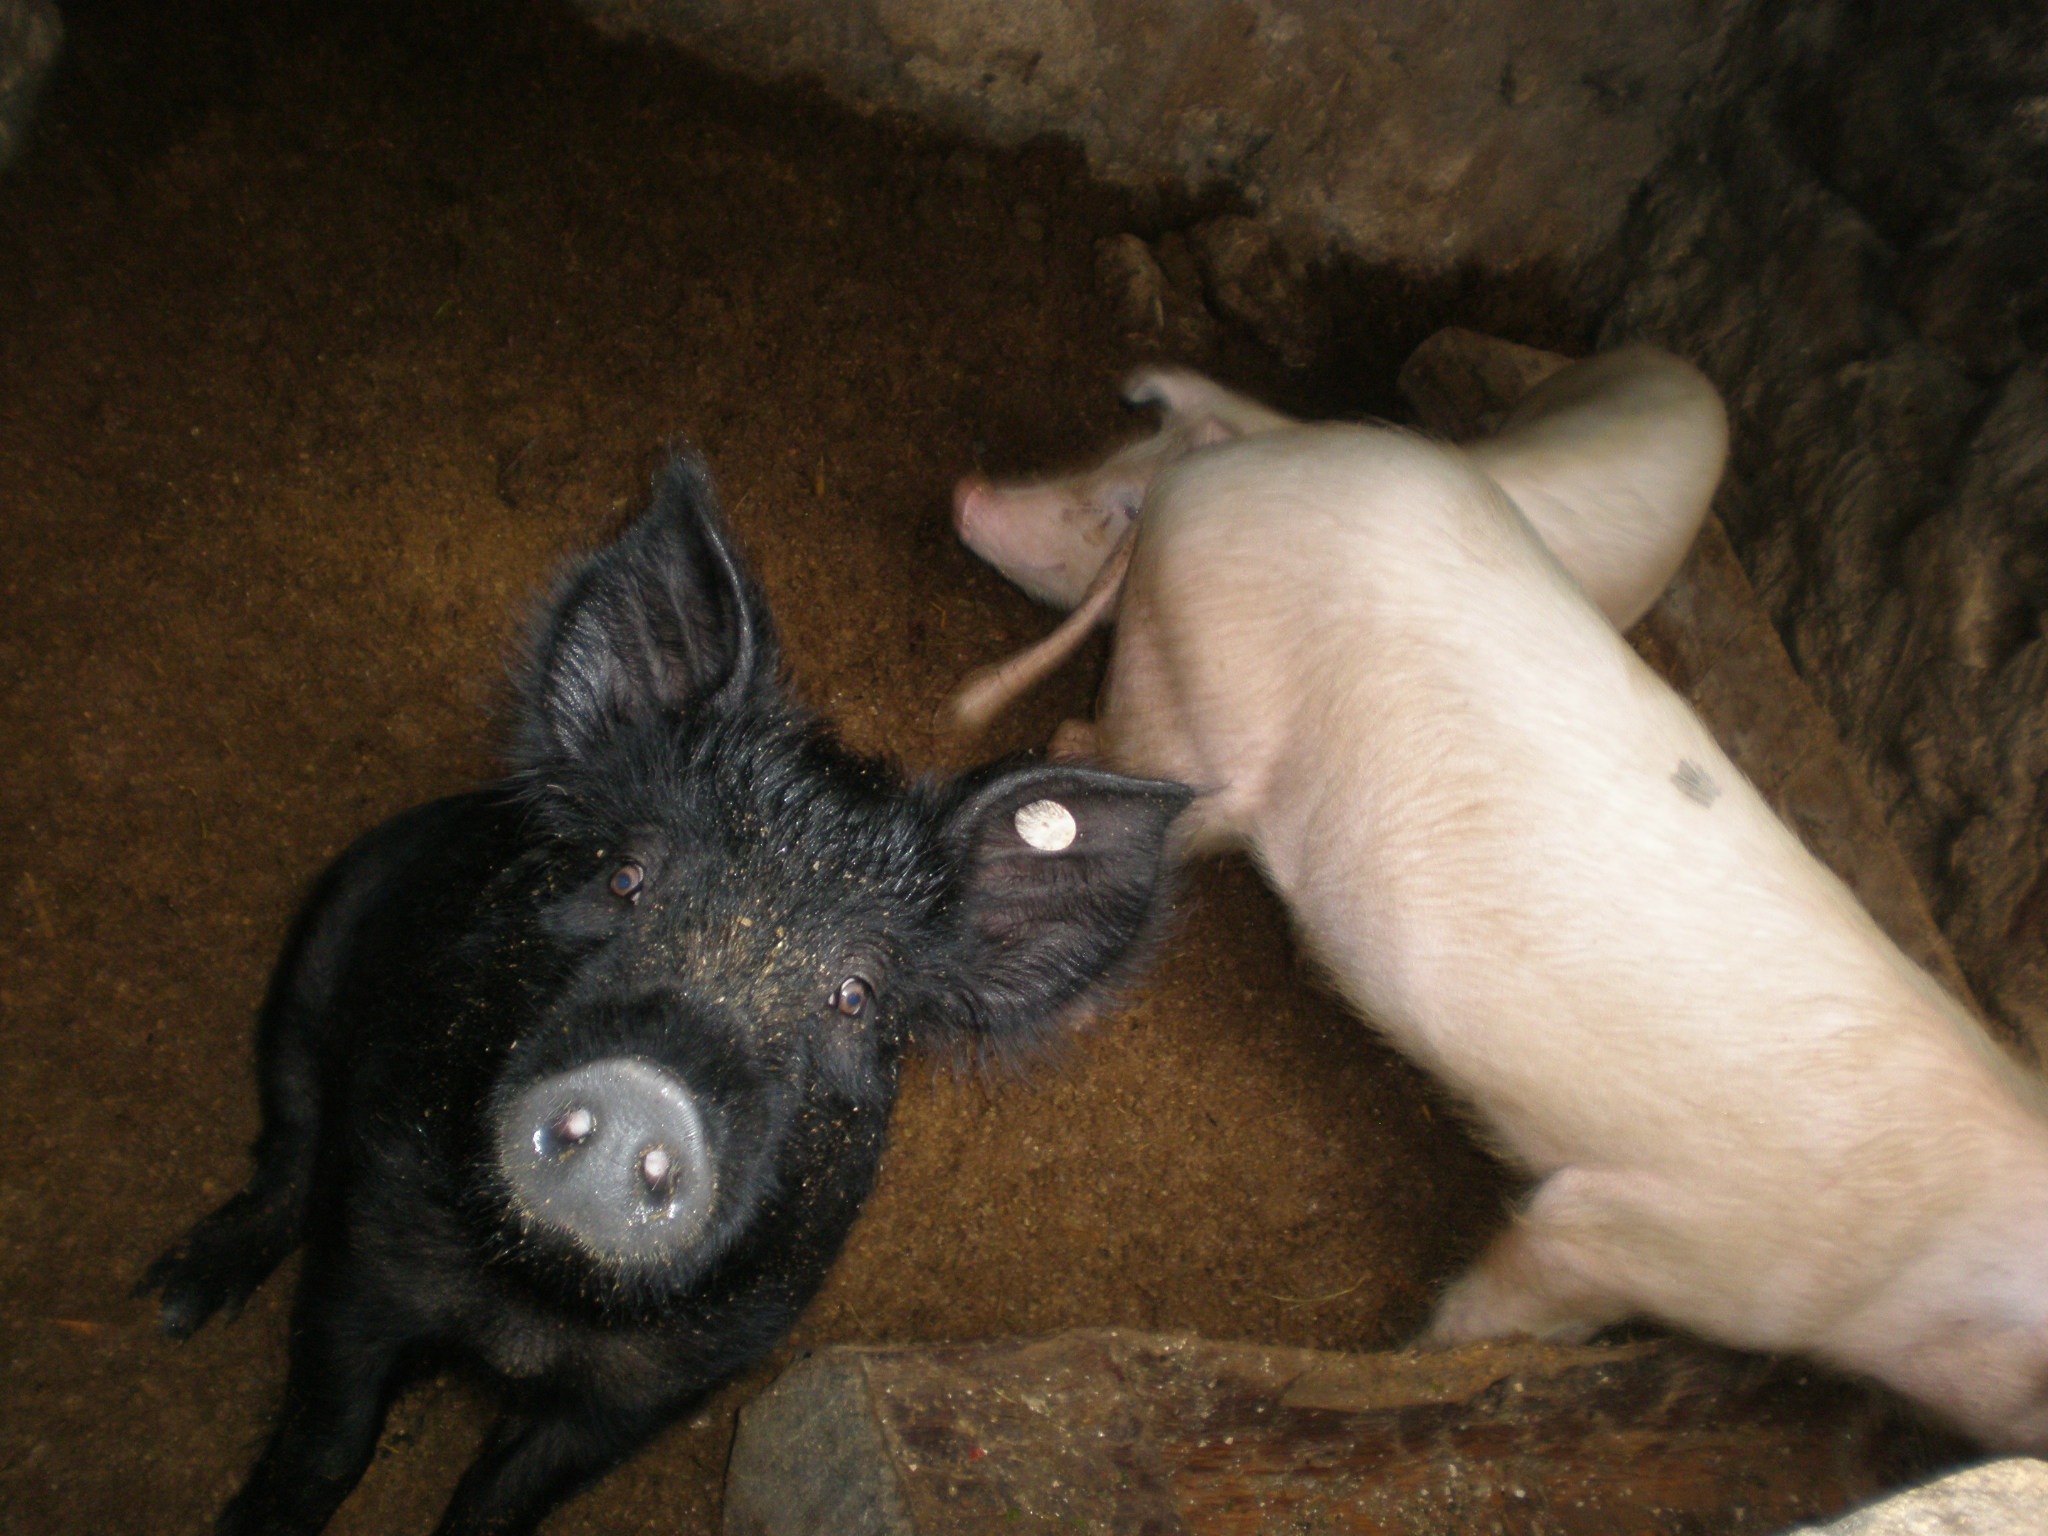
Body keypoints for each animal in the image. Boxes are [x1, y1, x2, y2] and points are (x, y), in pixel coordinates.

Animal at [139, 454, 1191, 1536]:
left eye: (855, 995)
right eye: (626, 877)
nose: (647, 1084)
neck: (535, 1304)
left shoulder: (683, 1373)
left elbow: (506, 1497)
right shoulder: (371, 1239)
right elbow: (327, 1443)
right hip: (316, 960)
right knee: (290, 1141)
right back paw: (174, 1305)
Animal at [948, 360, 2048, 1451]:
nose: (964, 491)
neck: (1939, 1278)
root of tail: (1204, 483)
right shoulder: (1645, 1239)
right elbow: (1511, 1303)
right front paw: (1414, 1367)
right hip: (1184, 704)